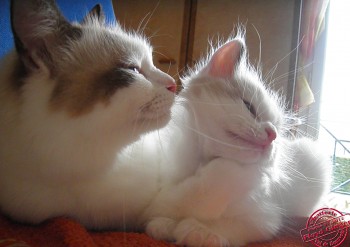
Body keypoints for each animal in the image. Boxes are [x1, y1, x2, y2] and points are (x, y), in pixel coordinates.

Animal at [142, 31, 330, 246]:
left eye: (278, 130)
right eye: (249, 108)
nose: (272, 134)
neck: (204, 162)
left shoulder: (264, 219)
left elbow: (229, 225)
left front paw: (199, 231)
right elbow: (167, 208)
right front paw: (166, 225)